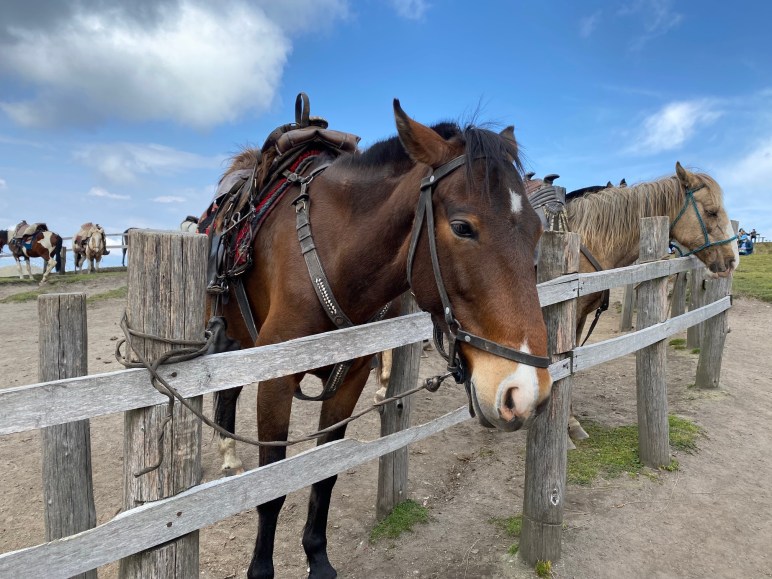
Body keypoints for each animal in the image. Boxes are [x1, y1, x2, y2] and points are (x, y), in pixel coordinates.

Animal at [207, 97, 556, 576]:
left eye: (537, 231)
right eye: (463, 227)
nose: (524, 392)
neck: (336, 255)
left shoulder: (349, 380)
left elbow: (326, 474)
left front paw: (318, 557)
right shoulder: (275, 382)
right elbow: (273, 490)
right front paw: (261, 570)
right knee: (226, 393)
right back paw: (226, 453)